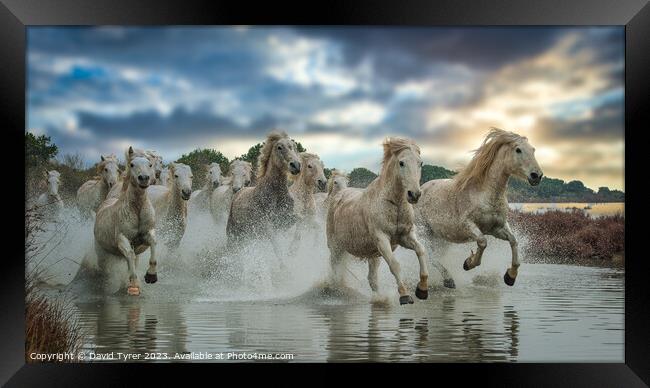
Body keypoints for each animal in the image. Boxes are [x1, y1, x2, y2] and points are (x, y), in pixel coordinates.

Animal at [93, 147, 157, 296]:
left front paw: (151, 276)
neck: (136, 209)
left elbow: (153, 244)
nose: (143, 178)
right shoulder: (122, 239)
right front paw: (133, 286)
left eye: (150, 164)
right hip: (102, 253)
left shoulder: (146, 235)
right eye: (132, 164)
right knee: (106, 268)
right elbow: (129, 254)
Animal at [326, 138, 428, 304]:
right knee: (334, 271)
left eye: (420, 163)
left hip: (372, 256)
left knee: (372, 279)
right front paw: (405, 295)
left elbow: (421, 250)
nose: (414, 194)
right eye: (401, 163)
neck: (394, 204)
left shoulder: (405, 236)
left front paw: (422, 290)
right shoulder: (382, 239)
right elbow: (395, 265)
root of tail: (339, 194)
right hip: (336, 247)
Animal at [416, 126, 540, 284]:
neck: (485, 193)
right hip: (424, 232)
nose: (537, 176)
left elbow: (513, 241)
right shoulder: (468, 226)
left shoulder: (496, 228)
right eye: (518, 150)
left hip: (440, 237)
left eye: (533, 149)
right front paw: (468, 263)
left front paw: (510, 276)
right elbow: (482, 242)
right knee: (431, 257)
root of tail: (421, 189)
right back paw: (448, 280)